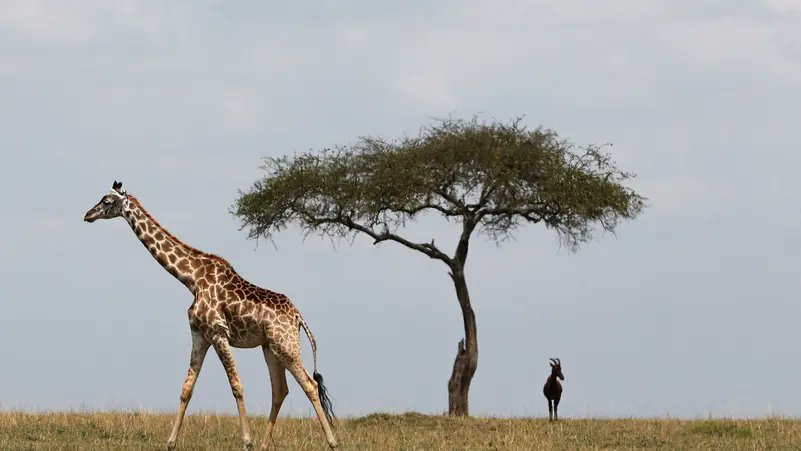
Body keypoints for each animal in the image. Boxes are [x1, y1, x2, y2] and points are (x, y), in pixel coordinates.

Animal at [83, 181, 338, 450]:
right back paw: (265, 446)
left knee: (309, 385)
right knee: (280, 390)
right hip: (270, 347)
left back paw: (332, 441)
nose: (88, 215)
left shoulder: (218, 333)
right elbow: (187, 388)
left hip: (285, 344)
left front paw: (246, 442)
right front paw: (170, 442)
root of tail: (298, 317)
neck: (191, 278)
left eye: (107, 201)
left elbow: (236, 385)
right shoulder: (199, 334)